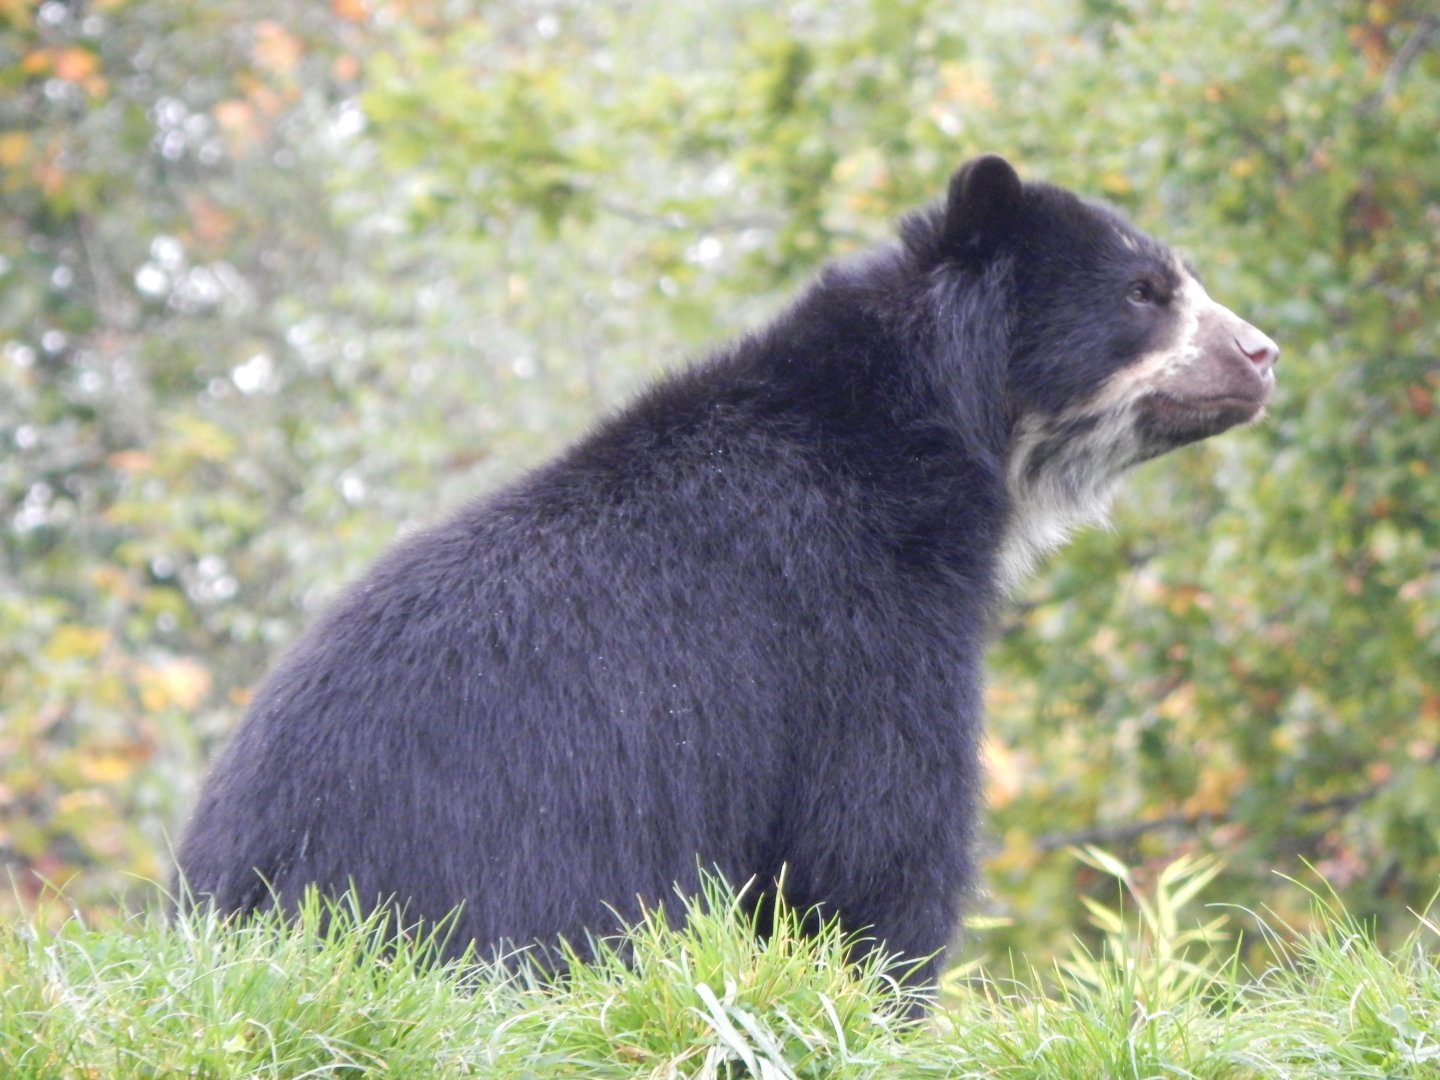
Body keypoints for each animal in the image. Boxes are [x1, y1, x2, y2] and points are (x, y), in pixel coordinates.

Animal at [175, 155, 1277, 995]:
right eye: (1145, 293)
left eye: (1177, 282)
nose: (1264, 353)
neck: (927, 432)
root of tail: (229, 890)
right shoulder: (857, 615)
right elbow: (872, 840)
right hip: (503, 847)